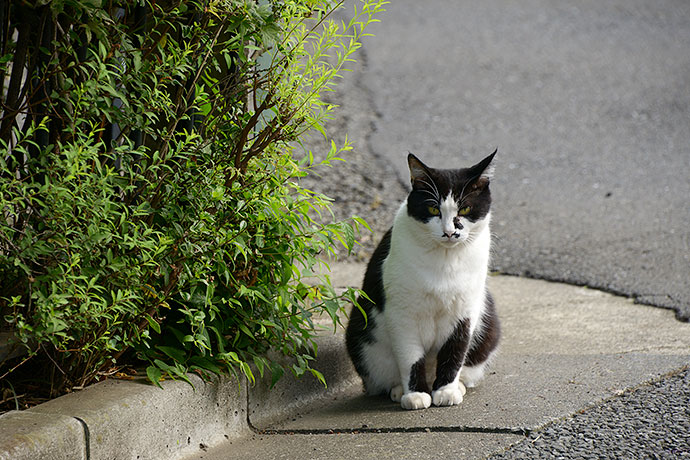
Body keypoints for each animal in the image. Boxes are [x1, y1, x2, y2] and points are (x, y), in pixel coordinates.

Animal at [344, 151, 500, 410]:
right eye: (433, 209)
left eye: (465, 209)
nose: (450, 232)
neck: (445, 260)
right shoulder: (402, 315)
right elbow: (410, 357)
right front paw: (415, 394)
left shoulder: (464, 312)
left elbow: (454, 352)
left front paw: (446, 391)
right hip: (361, 333)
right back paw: (399, 390)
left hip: (488, 327)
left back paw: (456, 386)